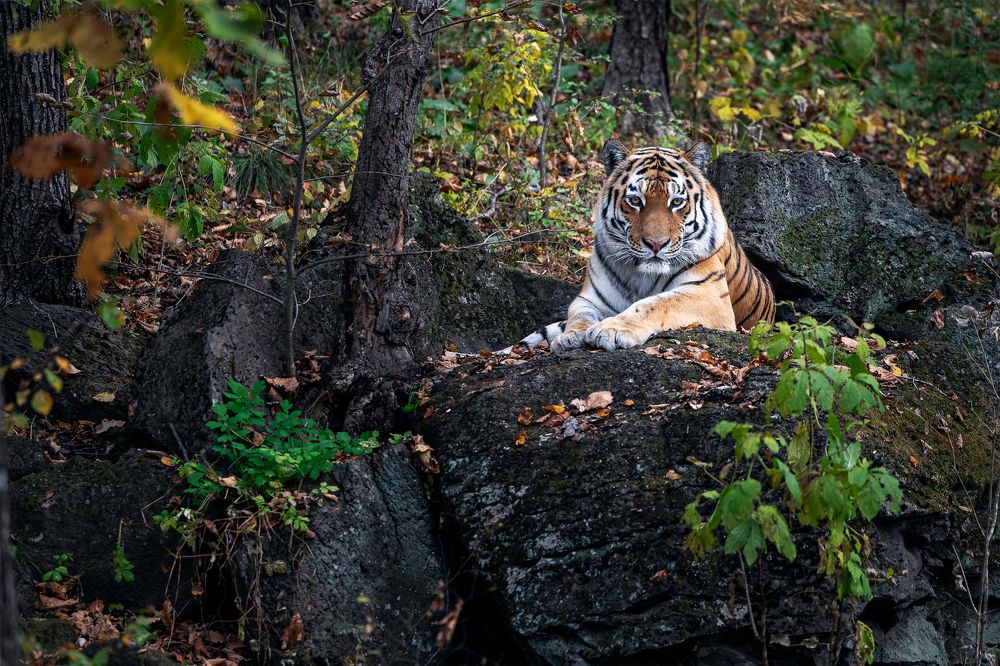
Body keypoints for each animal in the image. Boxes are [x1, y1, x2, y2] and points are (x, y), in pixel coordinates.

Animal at [517, 139, 775, 354]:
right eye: (635, 201)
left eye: (677, 202)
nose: (656, 243)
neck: (641, 276)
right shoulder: (590, 299)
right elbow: (579, 316)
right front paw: (570, 337)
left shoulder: (708, 295)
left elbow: (655, 304)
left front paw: (611, 330)